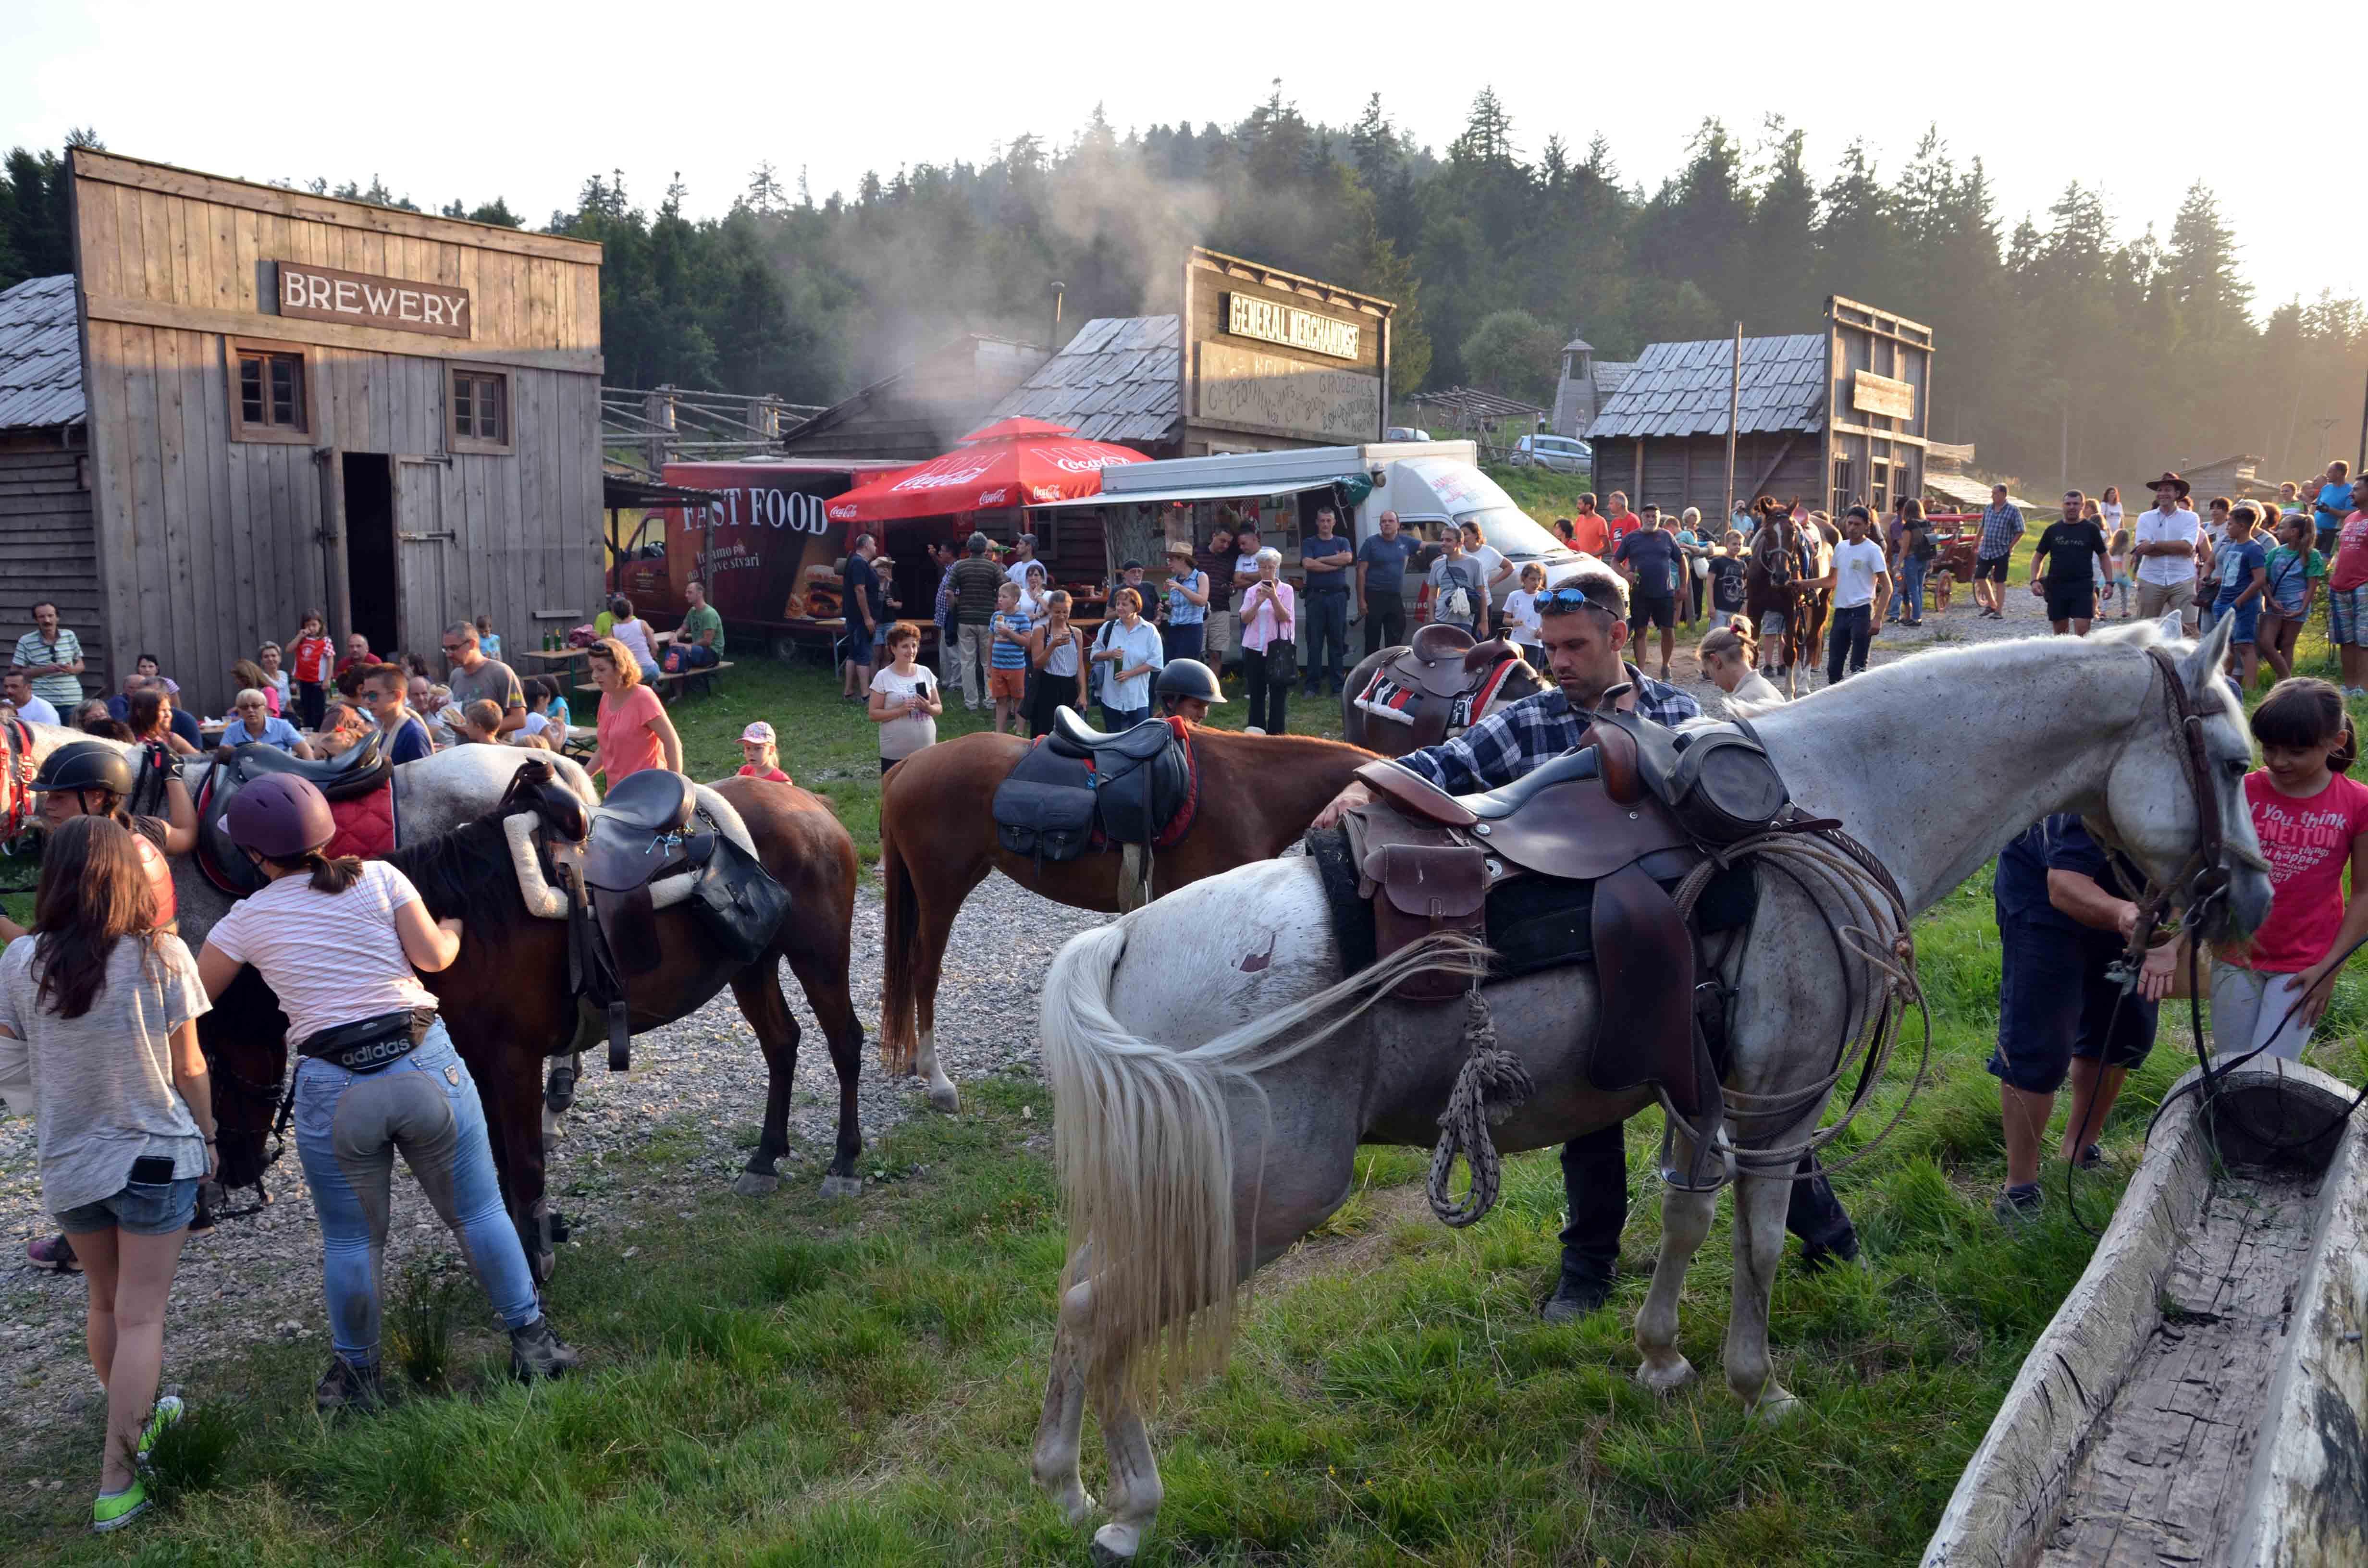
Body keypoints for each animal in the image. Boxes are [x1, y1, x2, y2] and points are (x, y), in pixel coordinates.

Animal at [203, 767, 866, 1288]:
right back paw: (764, 1160)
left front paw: (534, 1263)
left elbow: (523, 1165)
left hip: (817, 956)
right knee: (781, 1044)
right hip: (751, 964)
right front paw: (531, 1242)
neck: (462, 920)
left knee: (844, 1044)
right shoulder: (479, 1066)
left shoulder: (514, 1062)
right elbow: (499, 1164)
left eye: (211, 1064)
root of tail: (810, 805)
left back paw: (843, 1164)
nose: (229, 1173)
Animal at [1027, 620, 2264, 1563]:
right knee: (1106, 1311)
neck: (1840, 799)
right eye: (2234, 759)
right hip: (1252, 1198)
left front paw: (1663, 1358)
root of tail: (1124, 943)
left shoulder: (1699, 1088)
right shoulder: (1783, 1100)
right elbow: (1757, 1237)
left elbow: (1684, 1216)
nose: (2247, 901)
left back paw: (1066, 1484)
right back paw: (1129, 1508)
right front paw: (1756, 1386)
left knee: (1080, 1299)